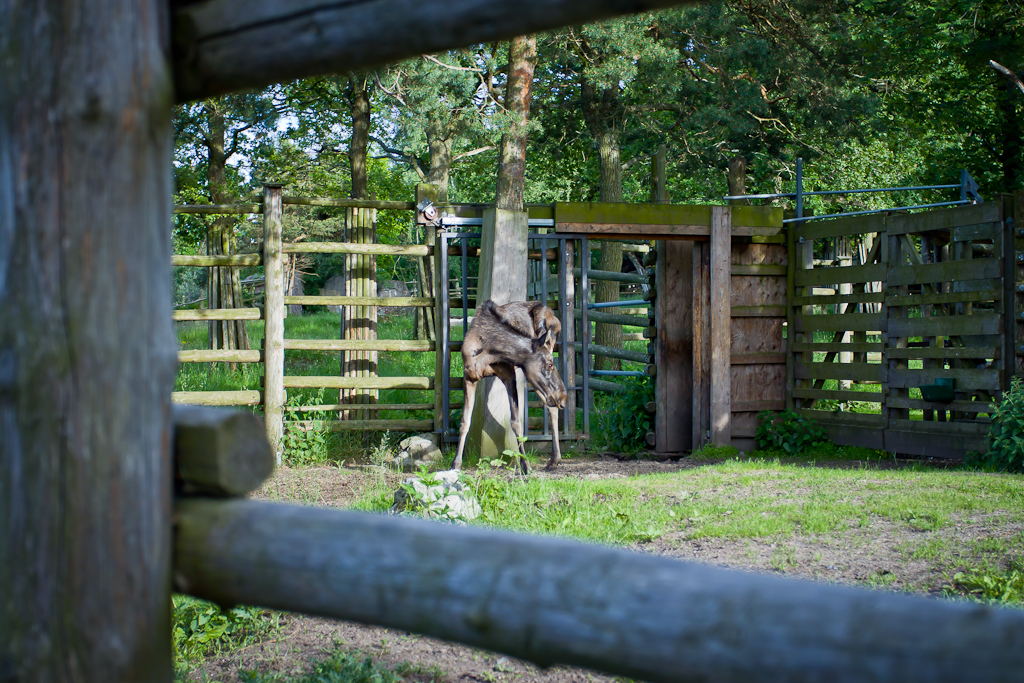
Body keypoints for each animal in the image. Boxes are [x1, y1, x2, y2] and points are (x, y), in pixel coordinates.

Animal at [454, 300, 567, 474]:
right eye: (549, 365)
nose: (563, 397)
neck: (486, 352)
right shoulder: (469, 377)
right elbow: (465, 421)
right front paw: (456, 464)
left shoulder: (509, 375)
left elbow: (515, 422)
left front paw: (525, 464)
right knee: (551, 405)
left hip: (534, 374)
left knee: (551, 407)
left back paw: (554, 459)